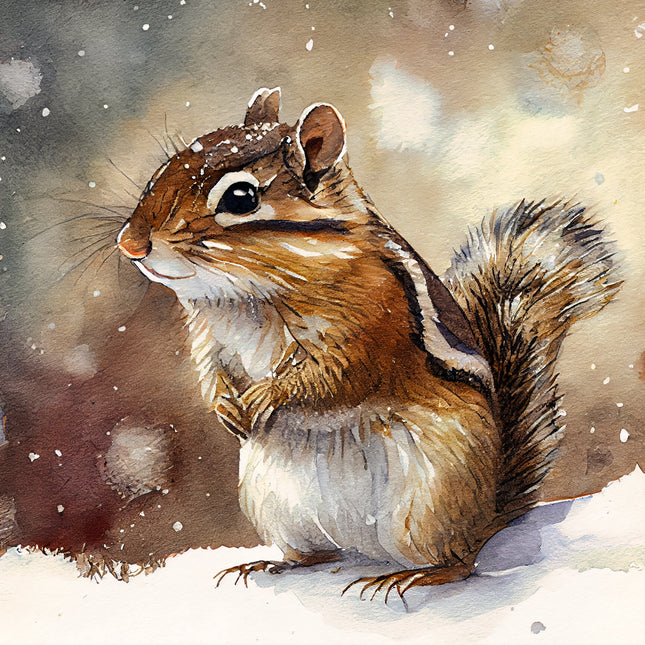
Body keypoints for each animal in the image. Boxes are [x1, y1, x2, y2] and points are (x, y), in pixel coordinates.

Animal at [116, 87, 620, 599]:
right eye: (163, 170)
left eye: (241, 198)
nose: (130, 245)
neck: (246, 296)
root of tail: (489, 514)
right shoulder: (209, 339)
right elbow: (211, 373)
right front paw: (224, 408)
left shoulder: (370, 324)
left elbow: (335, 375)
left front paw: (265, 396)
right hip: (274, 502)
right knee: (317, 553)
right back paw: (270, 564)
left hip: (429, 502)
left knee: (460, 561)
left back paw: (417, 574)